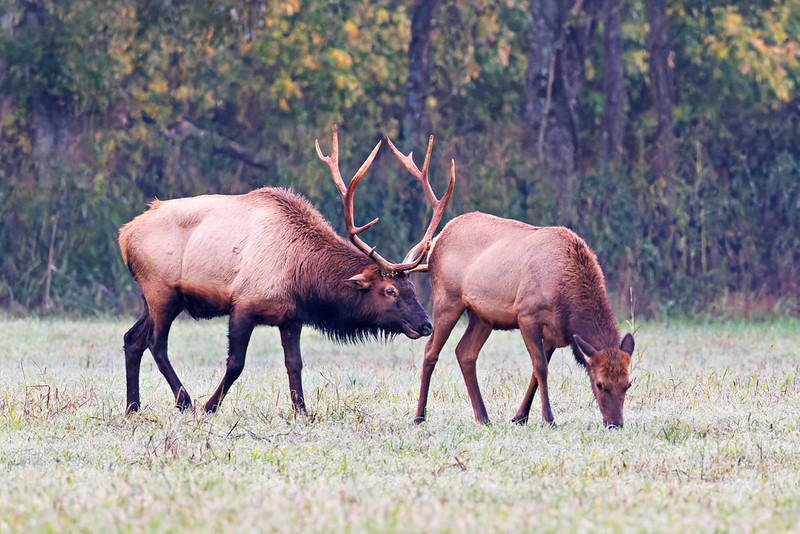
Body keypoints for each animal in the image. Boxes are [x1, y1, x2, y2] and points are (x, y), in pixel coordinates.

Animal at [118, 126, 454, 415]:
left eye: (413, 289)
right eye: (390, 291)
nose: (426, 324)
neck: (300, 276)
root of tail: (125, 234)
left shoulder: (291, 317)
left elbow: (295, 364)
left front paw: (302, 411)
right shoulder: (243, 304)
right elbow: (235, 363)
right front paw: (210, 406)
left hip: (156, 297)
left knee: (132, 338)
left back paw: (132, 406)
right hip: (162, 291)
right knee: (156, 344)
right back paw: (184, 401)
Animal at [385, 147, 633, 428]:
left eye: (628, 384)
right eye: (599, 384)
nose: (615, 424)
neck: (568, 305)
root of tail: (436, 241)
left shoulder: (553, 332)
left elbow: (536, 371)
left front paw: (520, 416)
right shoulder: (527, 315)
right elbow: (540, 367)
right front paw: (548, 418)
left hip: (482, 316)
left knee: (465, 352)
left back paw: (482, 416)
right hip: (447, 299)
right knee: (430, 351)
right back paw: (419, 415)